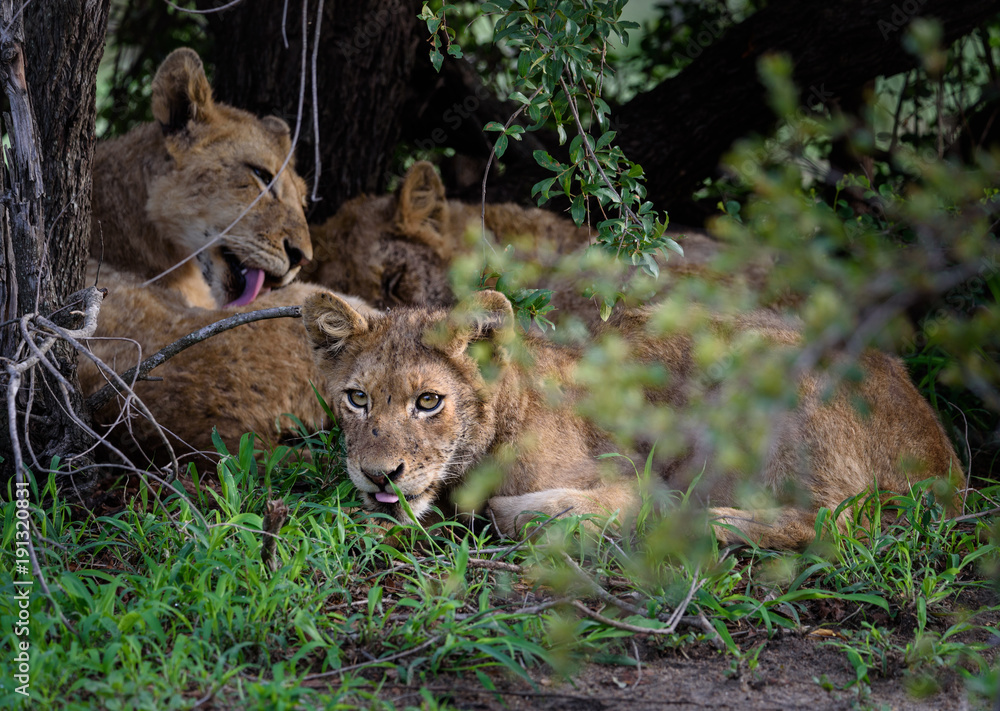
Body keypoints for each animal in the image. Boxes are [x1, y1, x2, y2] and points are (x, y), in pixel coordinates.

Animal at [301, 289, 964, 550]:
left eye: (428, 402)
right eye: (357, 399)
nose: (379, 475)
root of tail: (944, 464)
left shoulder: (627, 481)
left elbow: (526, 512)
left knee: (833, 521)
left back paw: (705, 521)